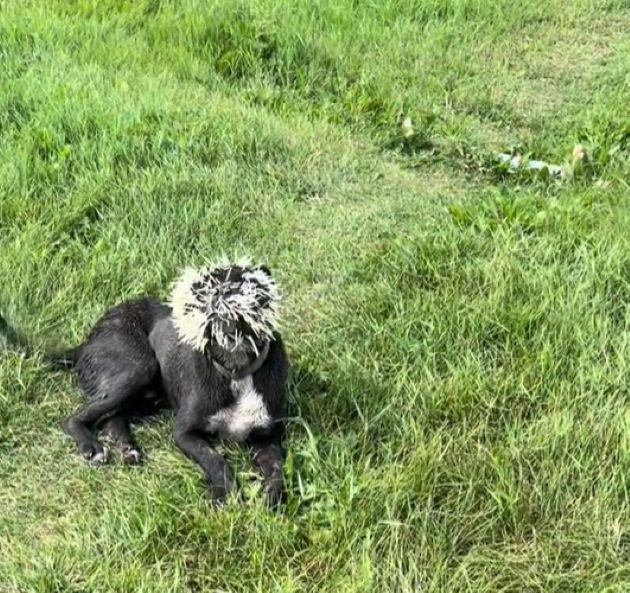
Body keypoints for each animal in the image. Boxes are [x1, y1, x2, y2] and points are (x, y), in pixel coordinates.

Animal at [0, 260, 288, 504]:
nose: (226, 318)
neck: (236, 369)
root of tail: (87, 341)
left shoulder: (266, 438)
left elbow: (277, 469)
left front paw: (270, 499)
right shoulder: (184, 433)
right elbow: (215, 459)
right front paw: (224, 494)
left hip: (151, 396)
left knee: (112, 418)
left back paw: (127, 448)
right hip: (139, 368)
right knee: (76, 417)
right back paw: (92, 448)